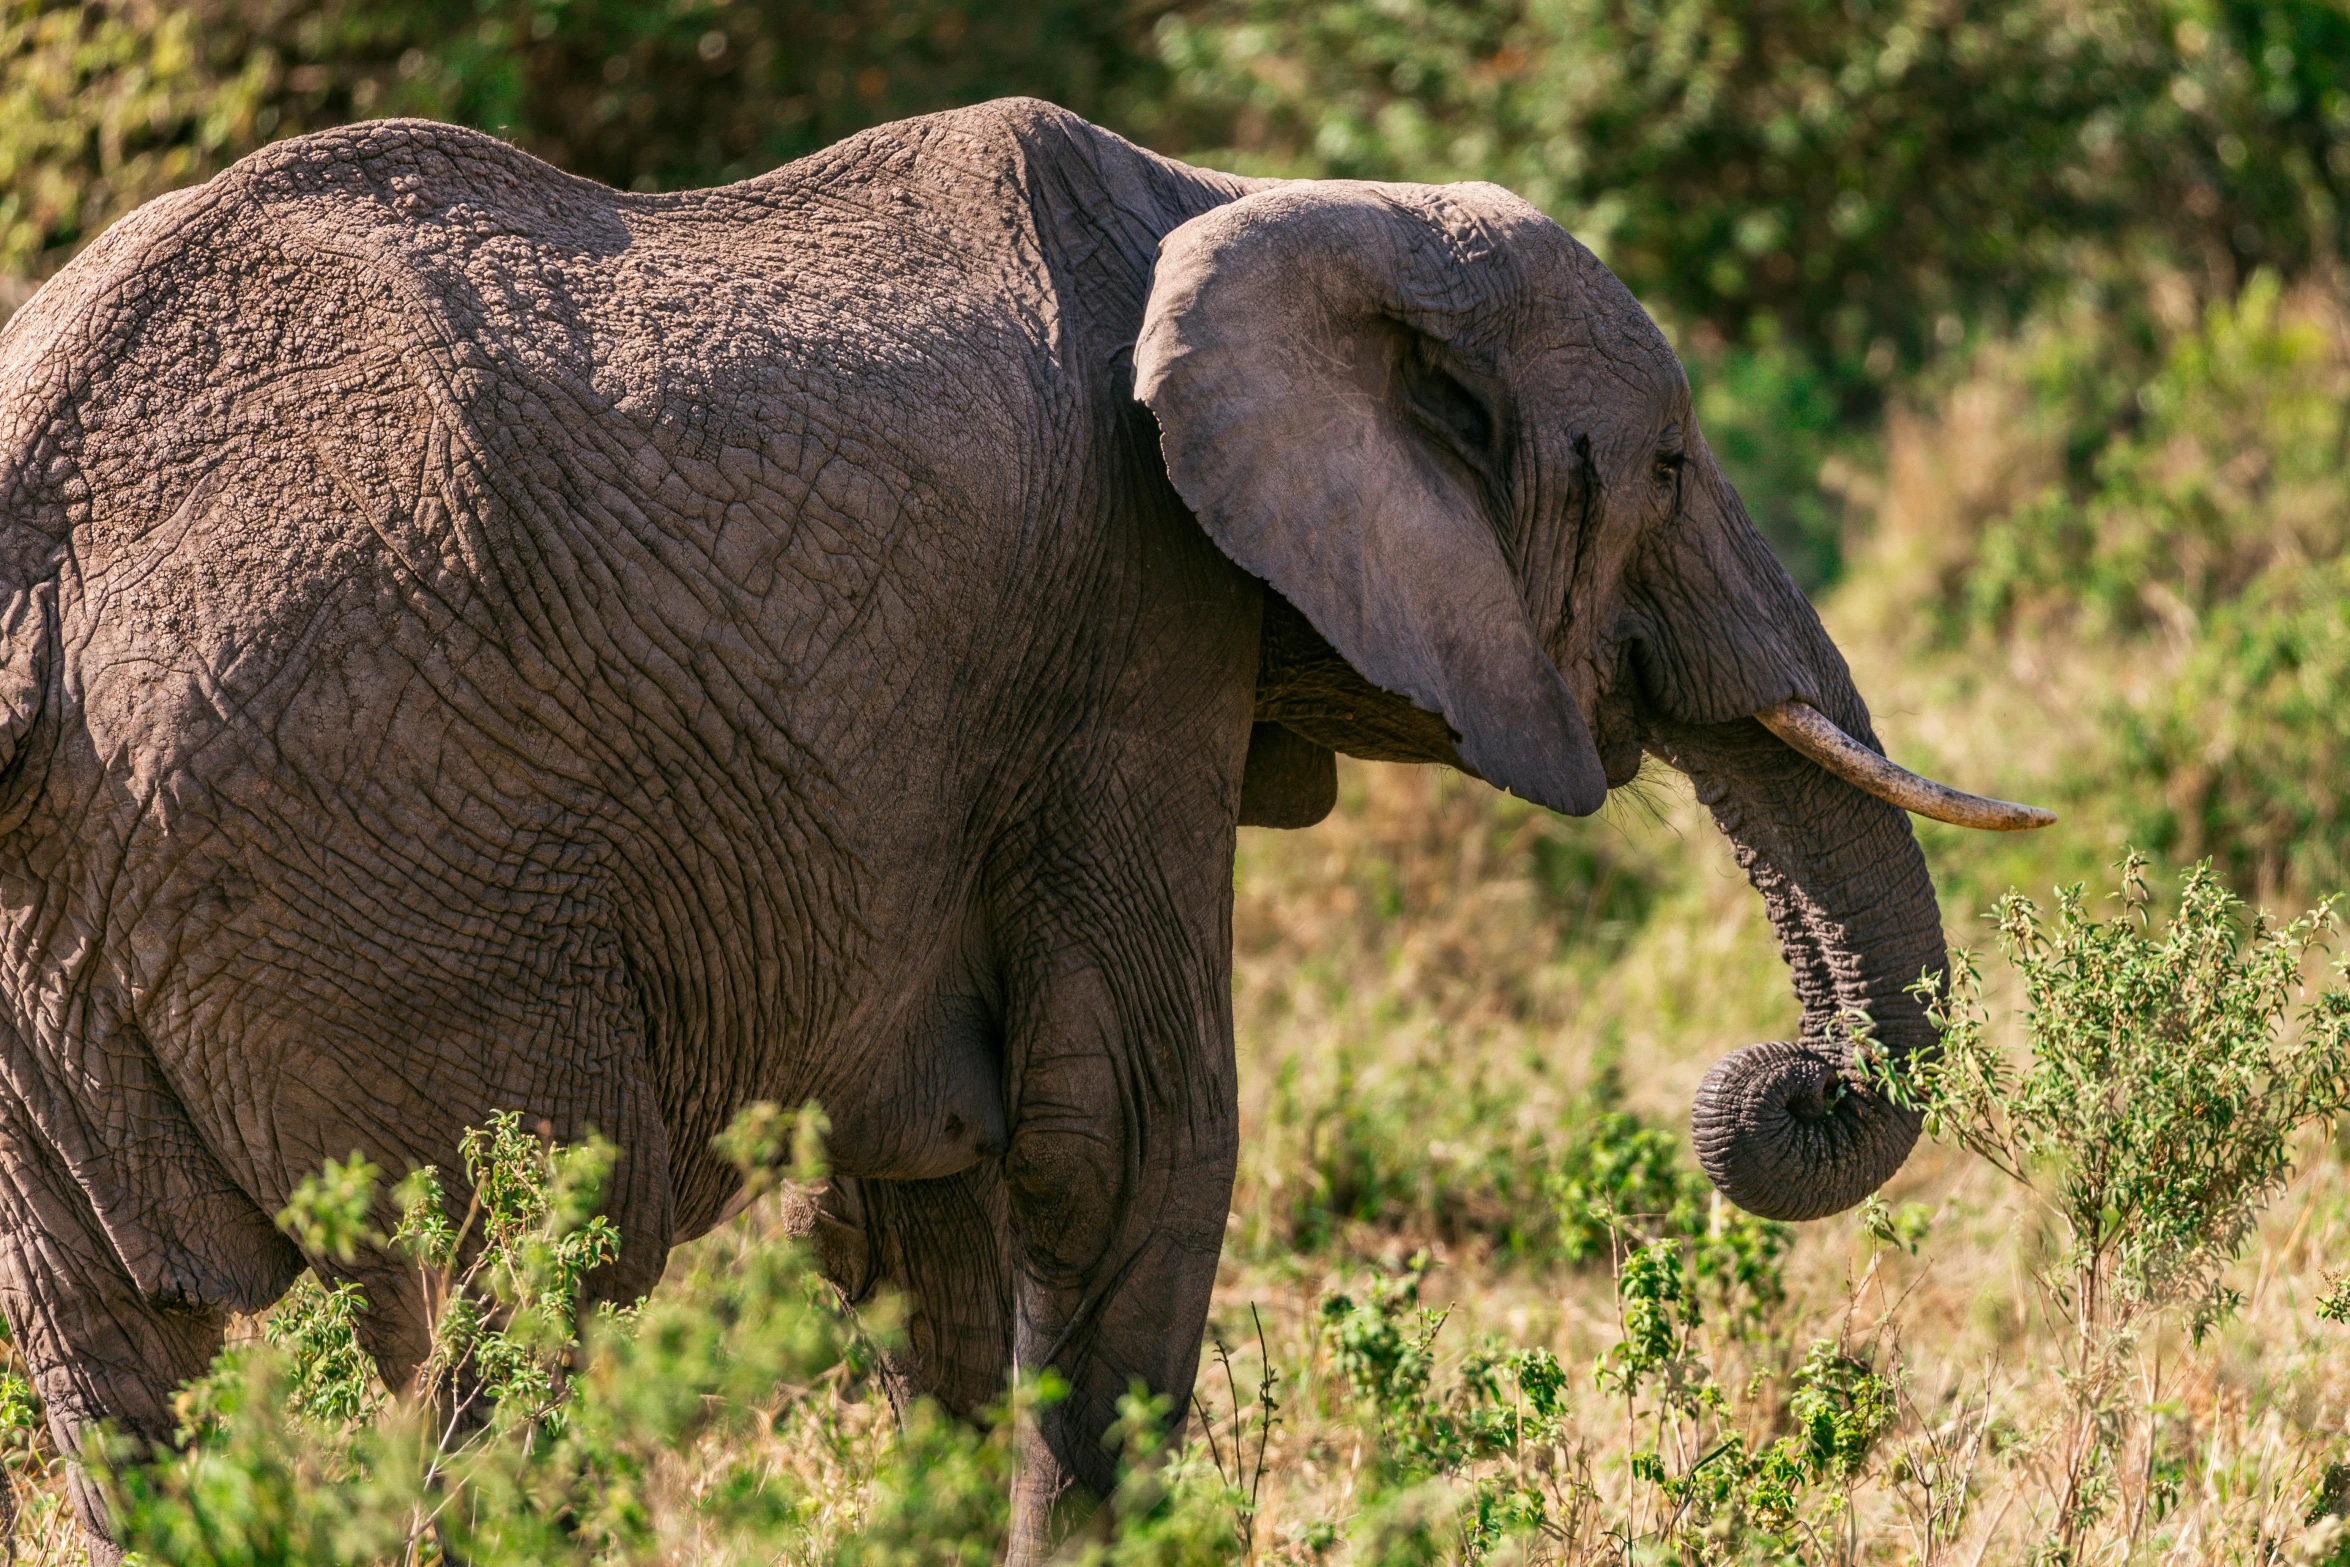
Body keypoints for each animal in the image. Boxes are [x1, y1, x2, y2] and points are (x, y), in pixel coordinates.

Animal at [0, 98, 2049, 1559]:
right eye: (1674, 470)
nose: (1772, 1083)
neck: (1255, 197)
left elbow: (935, 1182)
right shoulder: (1126, 631)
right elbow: (1124, 1140)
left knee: (118, 1365)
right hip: (397, 866)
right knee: (538, 1276)